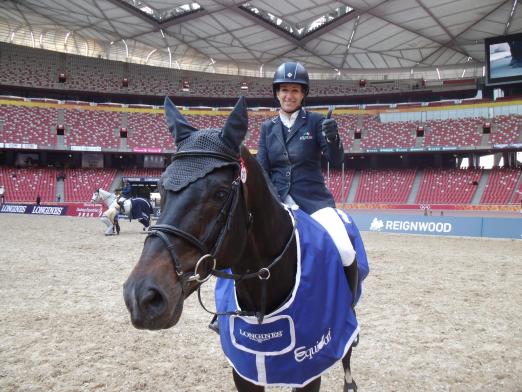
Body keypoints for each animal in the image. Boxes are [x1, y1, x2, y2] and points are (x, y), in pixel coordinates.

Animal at [122, 96, 368, 390]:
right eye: (159, 188)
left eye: (219, 193)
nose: (141, 296)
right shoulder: (244, 369)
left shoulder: (310, 365)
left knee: (347, 347)